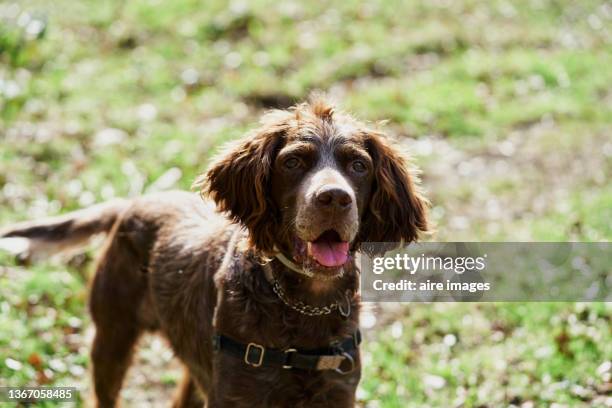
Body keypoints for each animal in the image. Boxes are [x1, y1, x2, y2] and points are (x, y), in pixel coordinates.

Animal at [0, 99, 428, 408]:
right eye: (293, 162)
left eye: (358, 165)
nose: (334, 198)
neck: (304, 304)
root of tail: (134, 201)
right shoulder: (237, 394)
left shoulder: (336, 393)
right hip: (112, 338)